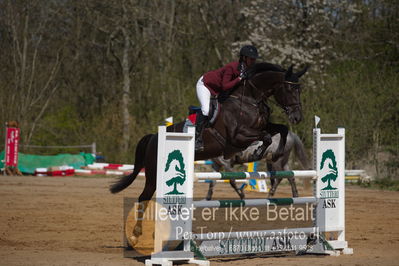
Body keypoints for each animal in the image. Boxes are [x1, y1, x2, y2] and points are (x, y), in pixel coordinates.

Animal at [109, 62, 310, 245]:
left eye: (300, 90)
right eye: (289, 89)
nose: (297, 117)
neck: (250, 99)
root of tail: (153, 136)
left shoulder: (258, 131)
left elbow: (281, 129)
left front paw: (273, 151)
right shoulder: (237, 138)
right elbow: (265, 138)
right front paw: (256, 155)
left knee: (285, 174)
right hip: (154, 173)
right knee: (144, 197)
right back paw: (135, 236)